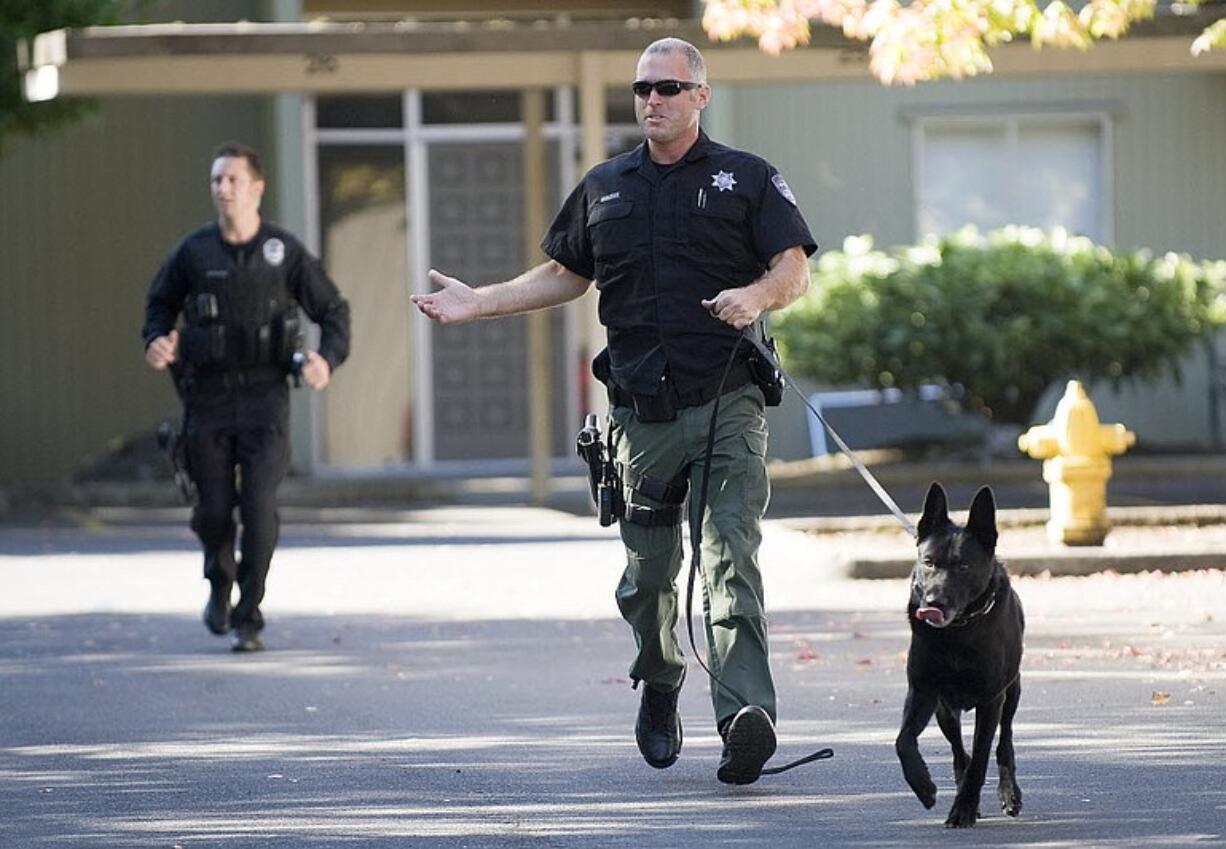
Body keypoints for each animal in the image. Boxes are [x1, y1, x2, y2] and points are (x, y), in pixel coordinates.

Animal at [892, 483, 1024, 829]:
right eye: (928, 562)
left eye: (963, 567)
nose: (933, 602)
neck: (957, 632)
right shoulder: (923, 691)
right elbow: (903, 741)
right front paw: (923, 785)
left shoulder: (992, 699)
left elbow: (981, 758)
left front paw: (963, 807)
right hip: (944, 711)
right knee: (957, 748)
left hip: (1012, 693)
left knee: (1004, 742)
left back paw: (1009, 793)